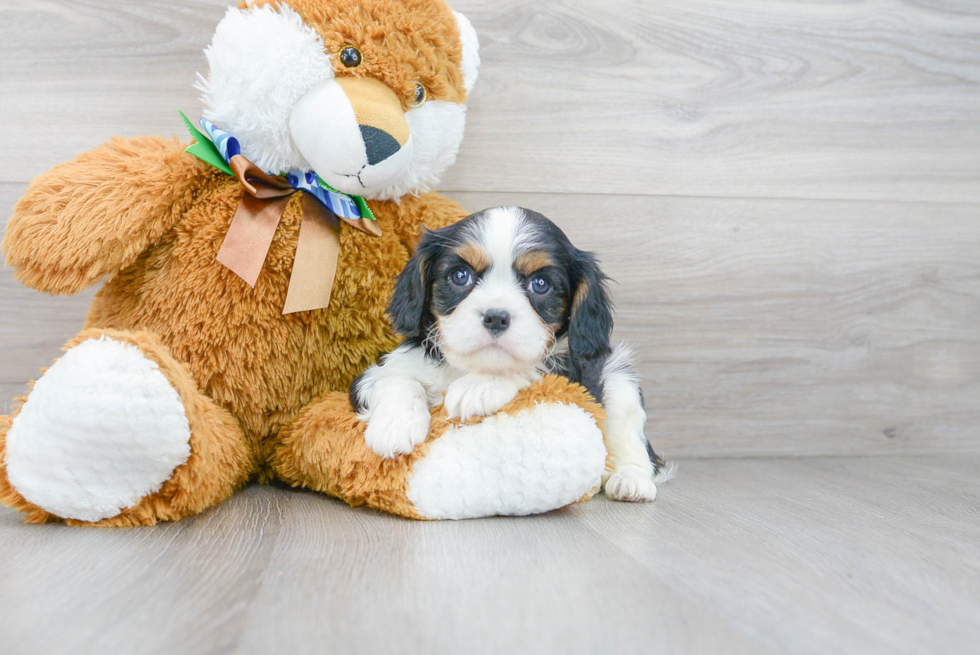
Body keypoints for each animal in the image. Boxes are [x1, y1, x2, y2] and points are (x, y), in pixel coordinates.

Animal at [348, 206, 668, 502]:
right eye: (460, 276)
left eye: (540, 284)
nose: (496, 317)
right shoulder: (372, 376)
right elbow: (397, 380)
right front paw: (394, 426)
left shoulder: (575, 377)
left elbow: (532, 368)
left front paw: (479, 387)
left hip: (619, 378)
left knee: (636, 447)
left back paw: (630, 480)